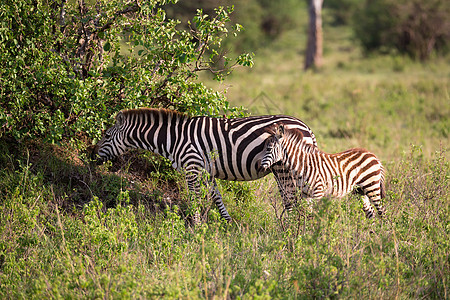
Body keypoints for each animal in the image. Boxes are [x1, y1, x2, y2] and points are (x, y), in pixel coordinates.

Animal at [93, 109, 318, 221]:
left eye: (106, 136)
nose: (93, 157)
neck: (174, 138)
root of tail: (306, 126)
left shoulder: (191, 167)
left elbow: (194, 198)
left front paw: (195, 226)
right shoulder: (206, 170)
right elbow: (216, 196)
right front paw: (227, 223)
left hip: (284, 169)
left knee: (294, 200)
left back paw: (293, 232)